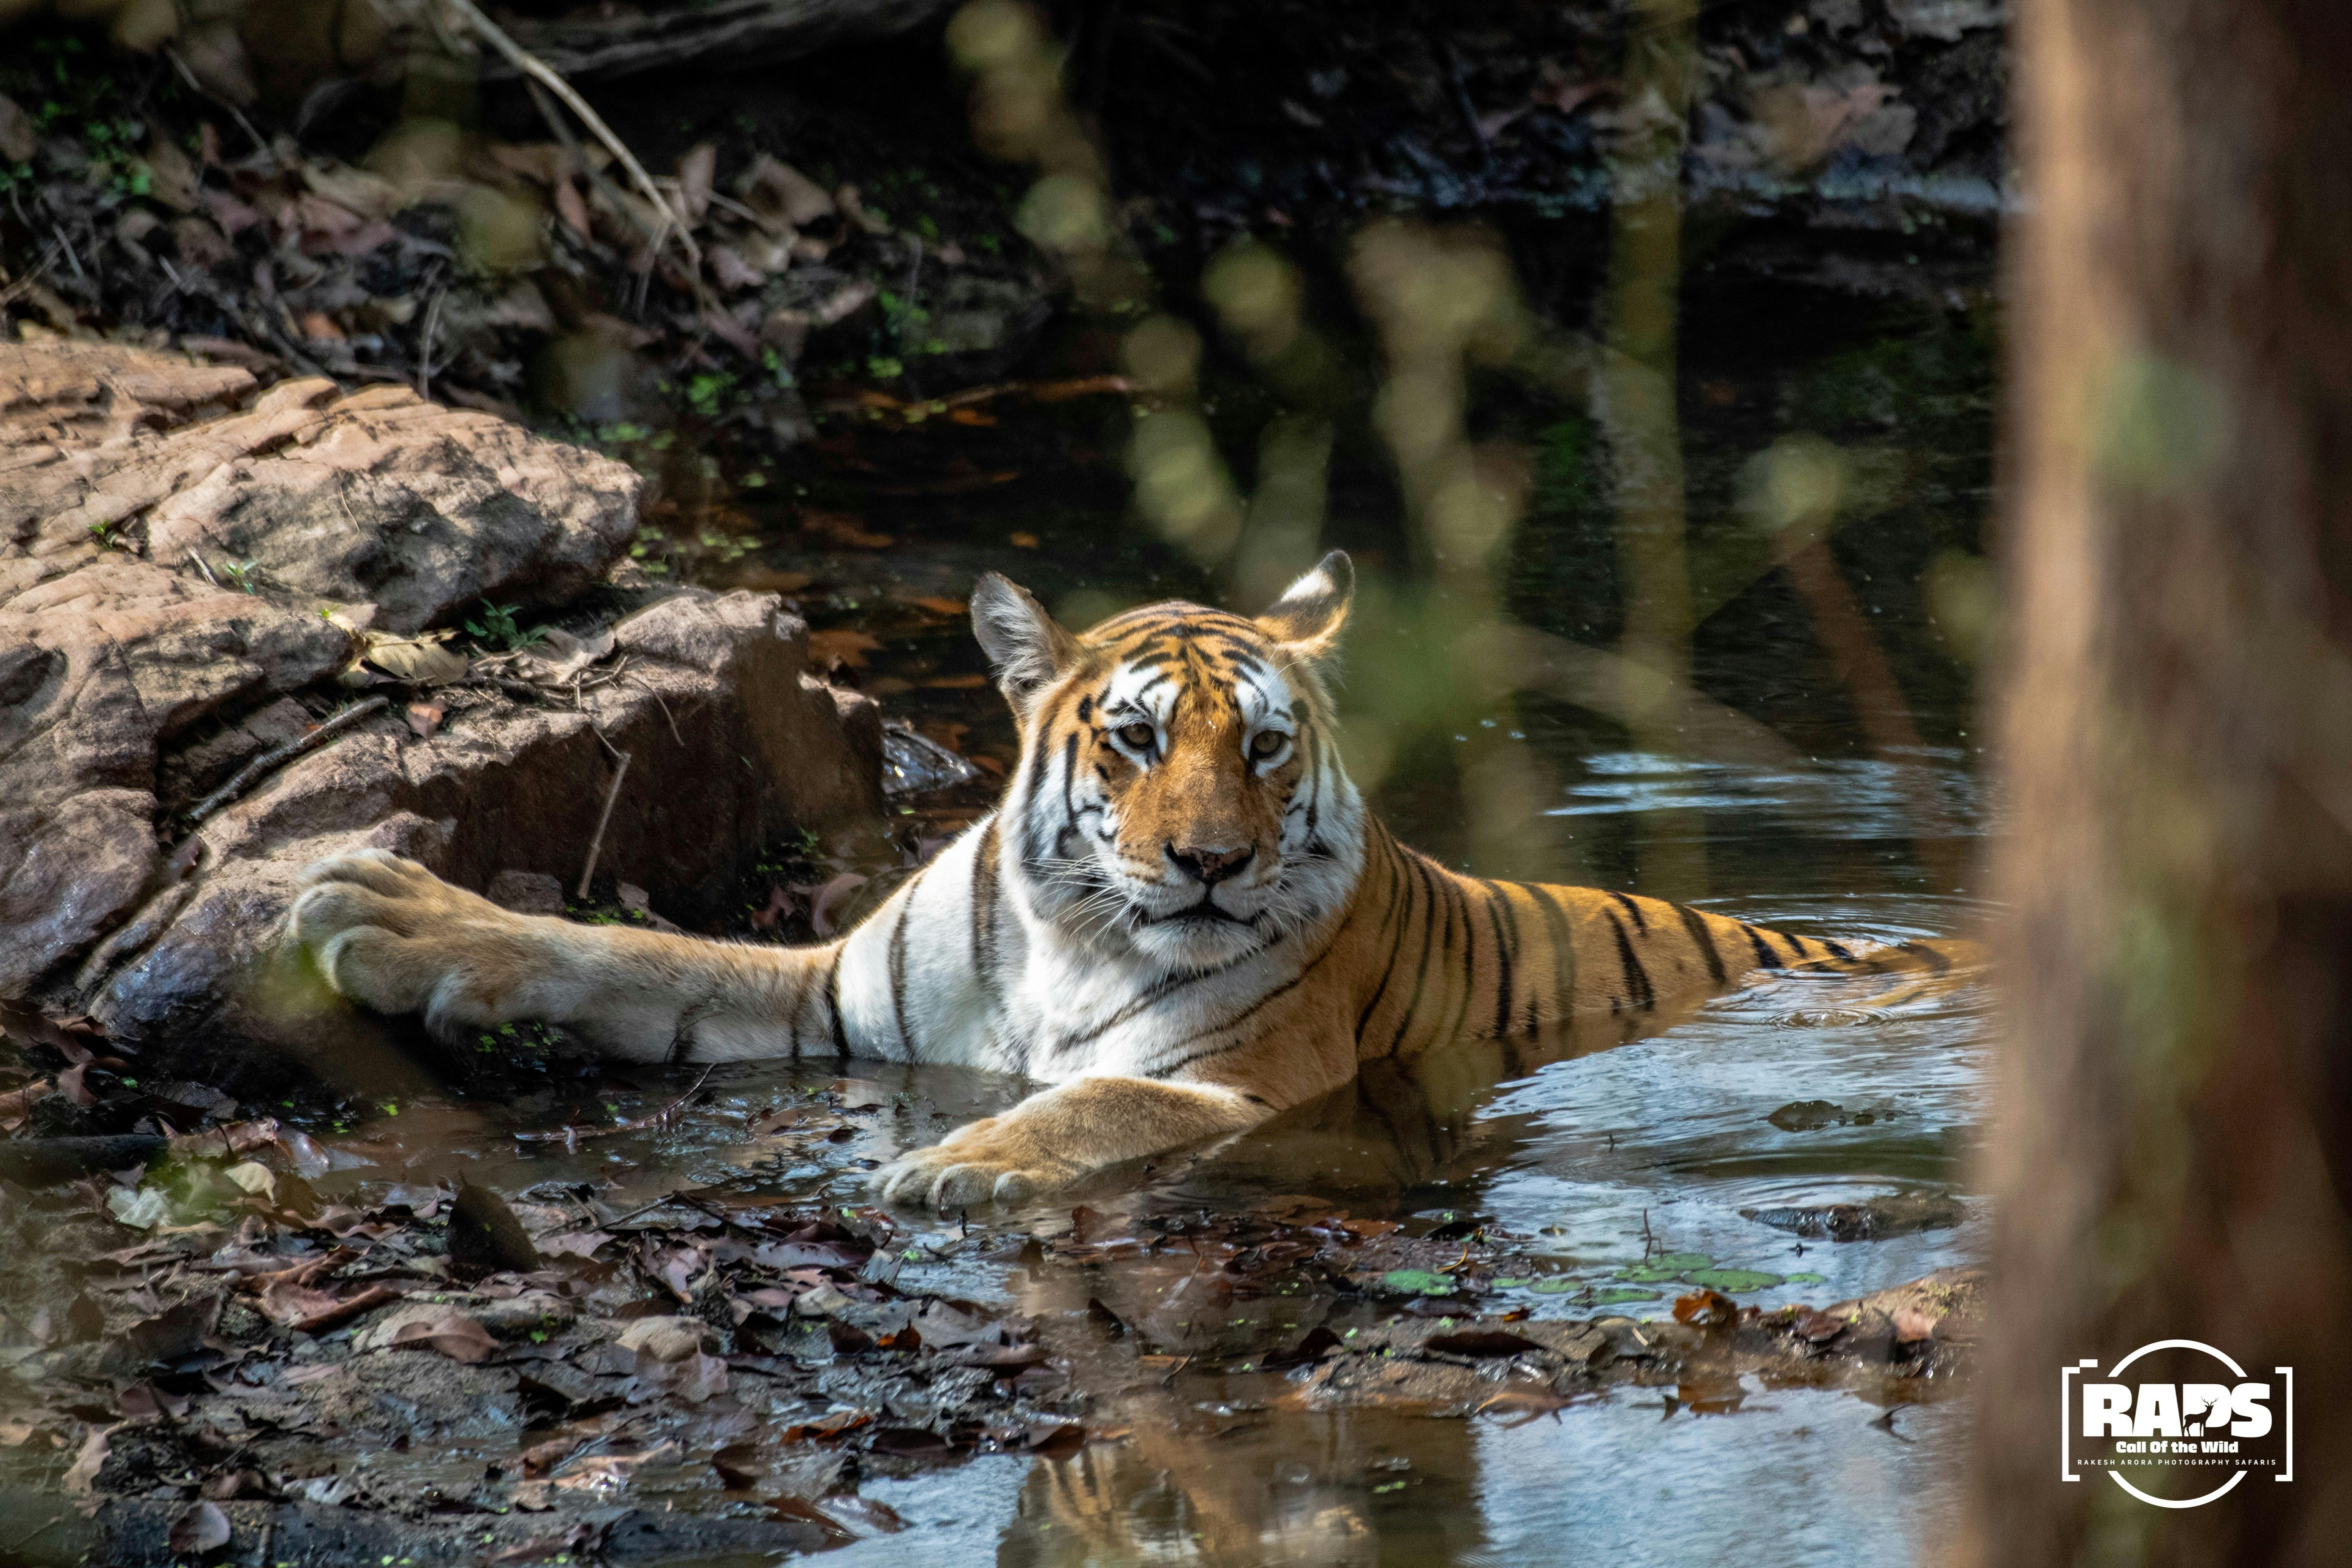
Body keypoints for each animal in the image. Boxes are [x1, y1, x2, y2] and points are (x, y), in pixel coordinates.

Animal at [288, 550, 1962, 1210]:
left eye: (1268, 748)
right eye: (1139, 737)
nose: (1210, 861)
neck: (1062, 937)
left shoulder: (1239, 1081)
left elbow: (1089, 1102)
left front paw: (953, 1161)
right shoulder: (828, 992)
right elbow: (635, 956)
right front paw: (379, 913)